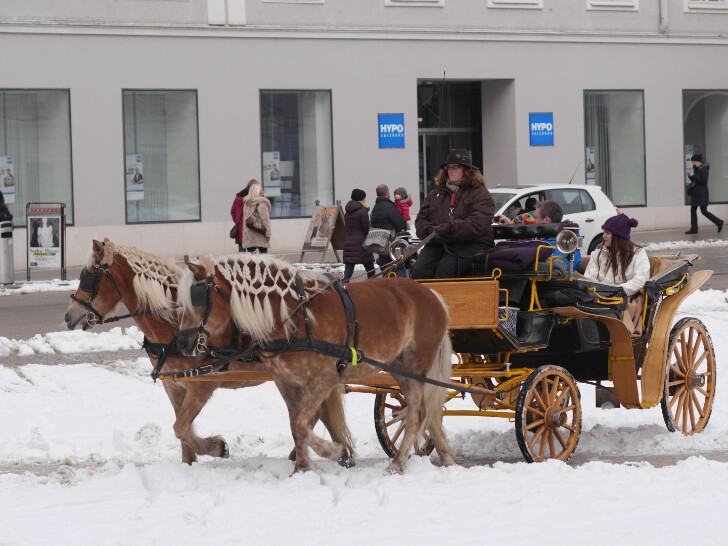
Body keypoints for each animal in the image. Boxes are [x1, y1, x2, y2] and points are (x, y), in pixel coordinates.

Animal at [64, 240, 353, 465]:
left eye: (89, 276)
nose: (68, 316)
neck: (174, 324)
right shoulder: (174, 386)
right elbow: (181, 428)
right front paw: (188, 462)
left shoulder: (202, 384)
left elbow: (180, 427)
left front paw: (216, 447)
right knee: (312, 415)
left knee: (310, 416)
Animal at [175, 252, 455, 474]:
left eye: (198, 298)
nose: (183, 343)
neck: (293, 317)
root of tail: (433, 295)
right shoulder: (287, 383)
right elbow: (295, 425)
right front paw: (302, 468)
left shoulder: (323, 381)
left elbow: (300, 424)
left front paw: (337, 452)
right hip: (402, 368)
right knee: (427, 413)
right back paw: (446, 458)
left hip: (415, 365)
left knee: (417, 414)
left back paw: (397, 464)